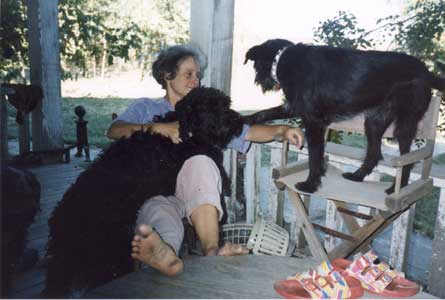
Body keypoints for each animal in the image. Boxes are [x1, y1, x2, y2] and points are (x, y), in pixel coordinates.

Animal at [41, 86, 243, 298]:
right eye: (210, 106)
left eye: (225, 103)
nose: (238, 120)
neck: (187, 130)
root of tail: (59, 221)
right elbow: (211, 155)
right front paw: (226, 179)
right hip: (111, 253)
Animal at [243, 39, 444, 192]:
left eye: (255, 65)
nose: (257, 81)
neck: (283, 58)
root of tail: (426, 71)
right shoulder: (295, 107)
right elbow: (265, 112)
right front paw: (245, 119)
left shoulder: (313, 122)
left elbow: (314, 157)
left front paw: (310, 185)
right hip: (374, 122)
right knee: (374, 153)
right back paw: (357, 176)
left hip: (404, 123)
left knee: (406, 159)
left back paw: (397, 187)